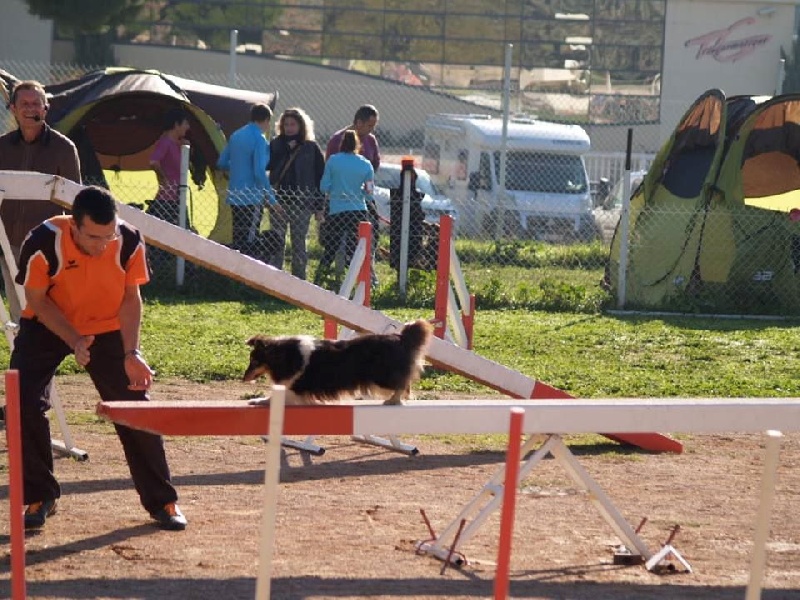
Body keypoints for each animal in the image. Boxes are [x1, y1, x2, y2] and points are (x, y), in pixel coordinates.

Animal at [244, 318, 434, 408]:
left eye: (254, 360)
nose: (243, 378)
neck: (286, 355)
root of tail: (401, 338)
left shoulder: (291, 387)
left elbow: (273, 398)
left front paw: (258, 400)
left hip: (382, 377)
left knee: (402, 385)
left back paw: (393, 400)